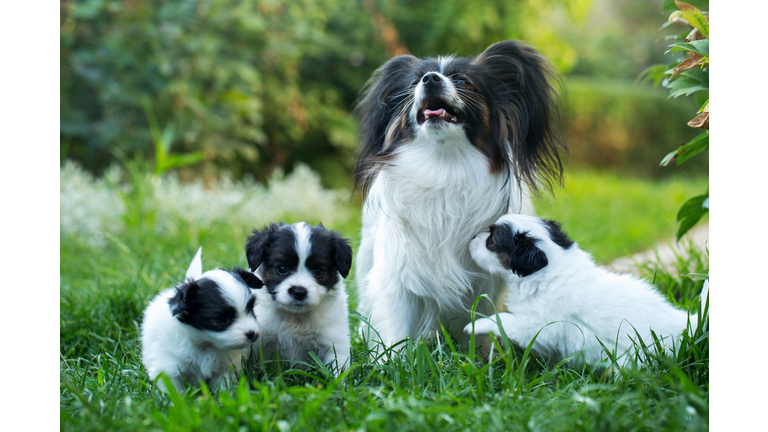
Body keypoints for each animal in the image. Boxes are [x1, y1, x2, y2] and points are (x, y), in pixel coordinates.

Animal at [142, 246, 264, 392]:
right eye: (223, 319)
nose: (252, 334)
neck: (206, 343)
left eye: (251, 309)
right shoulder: (169, 368)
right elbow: (175, 391)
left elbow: (223, 386)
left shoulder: (225, 368)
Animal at [246, 223, 354, 374]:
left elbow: (337, 370)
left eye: (318, 271)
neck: (296, 318)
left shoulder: (333, 342)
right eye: (281, 268)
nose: (299, 292)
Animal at [352, 40, 564, 348]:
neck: (444, 166)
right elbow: (396, 331)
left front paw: (479, 355)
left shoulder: (485, 283)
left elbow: (479, 324)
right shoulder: (397, 276)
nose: (431, 79)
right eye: (415, 81)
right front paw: (391, 356)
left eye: (463, 81)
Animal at [462, 214, 708, 366]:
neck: (551, 270)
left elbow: (505, 320)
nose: (472, 237)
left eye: (491, 240)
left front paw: (475, 325)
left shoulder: (539, 325)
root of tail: (687, 324)